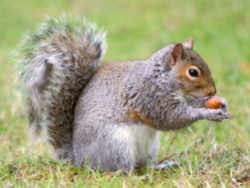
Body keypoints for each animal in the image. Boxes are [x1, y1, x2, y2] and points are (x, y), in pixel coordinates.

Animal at [19, 15, 230, 171]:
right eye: (193, 72)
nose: (213, 90)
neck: (162, 77)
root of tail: (79, 158)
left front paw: (219, 104)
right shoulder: (148, 96)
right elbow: (170, 118)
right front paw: (207, 112)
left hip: (150, 147)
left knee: (143, 165)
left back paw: (160, 166)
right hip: (116, 145)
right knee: (119, 170)